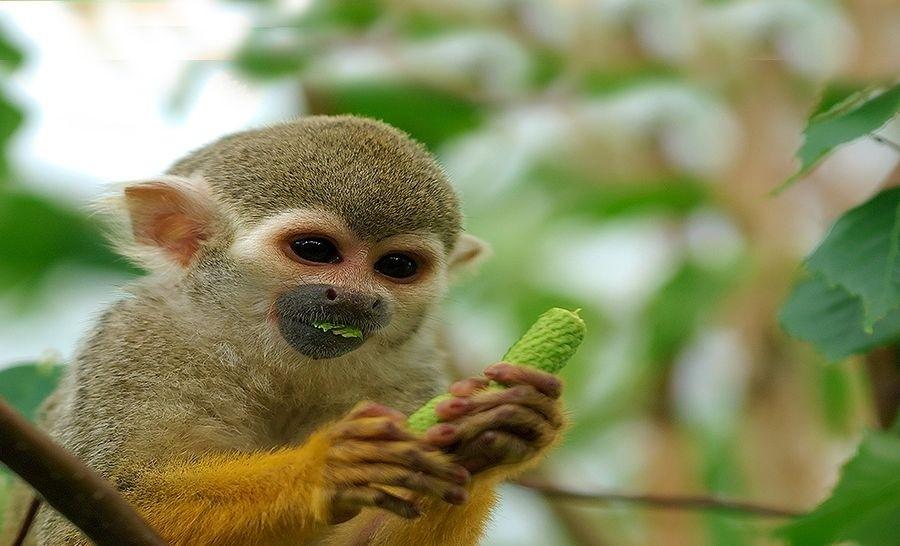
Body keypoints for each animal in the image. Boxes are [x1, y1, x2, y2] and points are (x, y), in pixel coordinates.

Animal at [3, 116, 566, 545]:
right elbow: (96, 515)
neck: (269, 356)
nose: (356, 298)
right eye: (315, 250)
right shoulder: (134, 344)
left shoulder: (408, 377)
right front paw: (322, 470)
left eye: (397, 266)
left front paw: (490, 435)